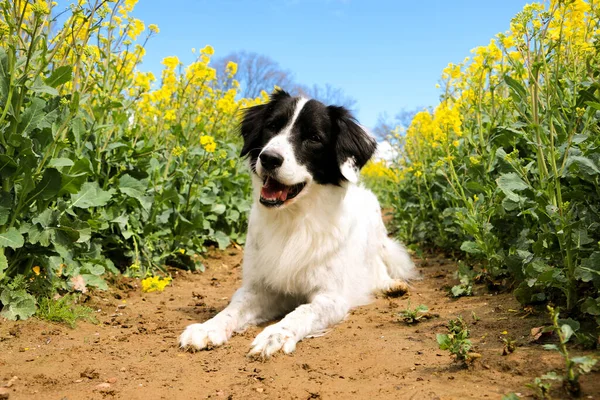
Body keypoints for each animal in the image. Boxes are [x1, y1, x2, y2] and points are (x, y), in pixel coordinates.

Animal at [178, 90, 418, 360]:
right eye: (272, 126)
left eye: (314, 138)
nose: (268, 158)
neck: (293, 220)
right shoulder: (260, 288)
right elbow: (232, 309)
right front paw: (207, 327)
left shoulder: (331, 297)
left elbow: (301, 312)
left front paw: (274, 335)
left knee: (378, 265)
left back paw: (390, 285)